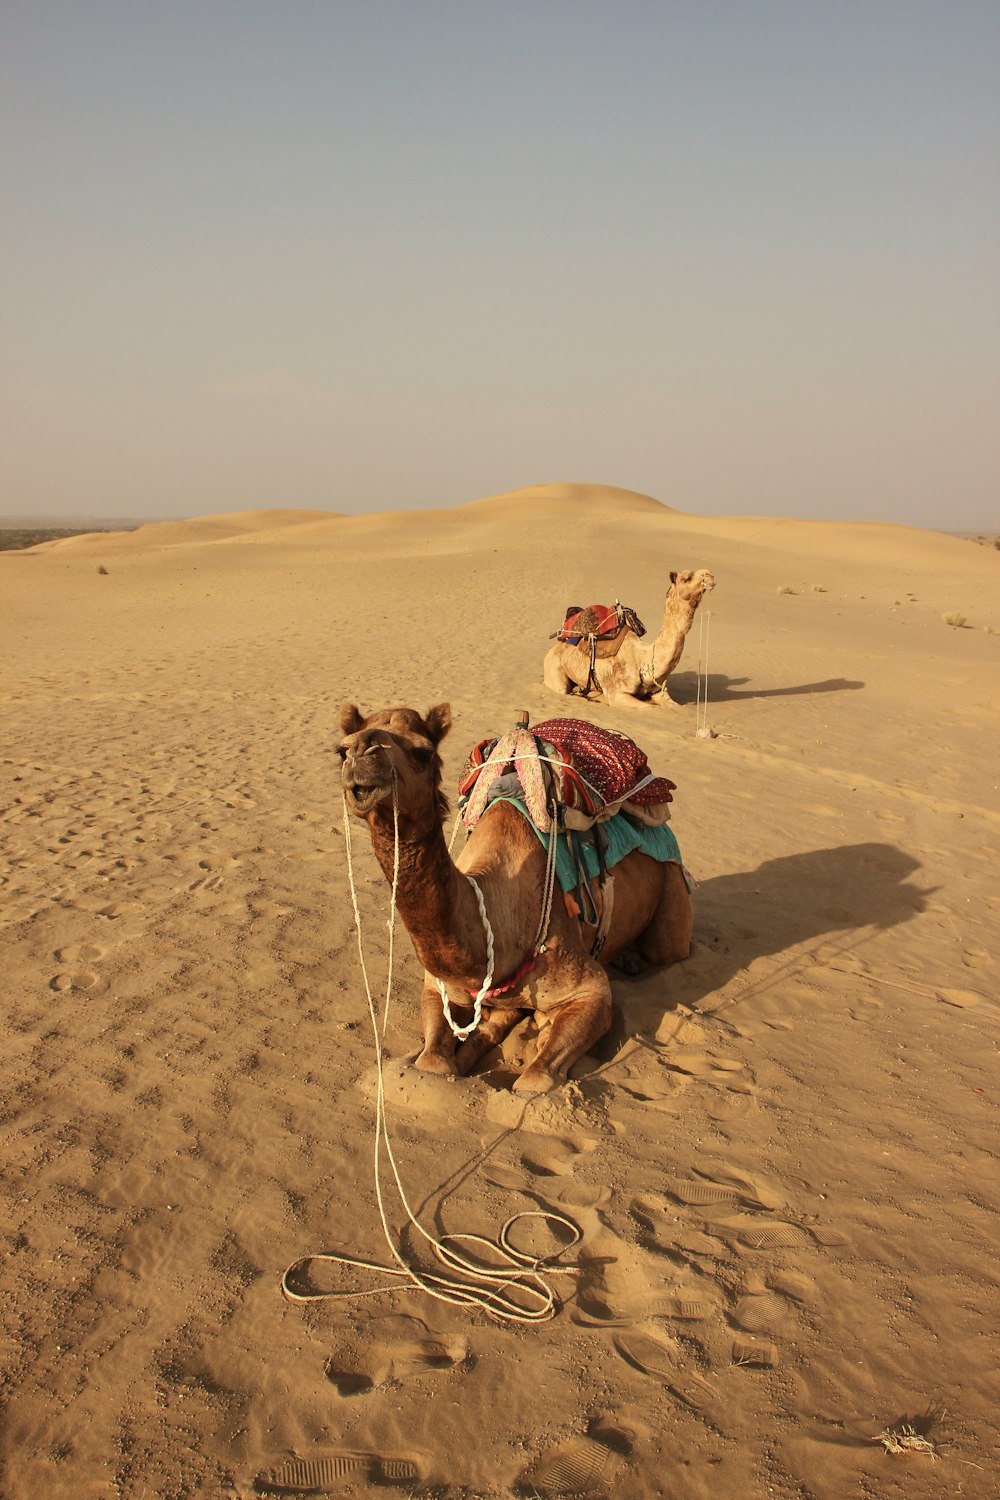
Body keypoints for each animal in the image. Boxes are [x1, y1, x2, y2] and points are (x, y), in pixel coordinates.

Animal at [340, 702, 692, 1092]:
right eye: (341, 750)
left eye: (422, 751)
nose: (361, 752)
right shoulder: (439, 986)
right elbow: (433, 1062)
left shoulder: (591, 989)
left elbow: (534, 1080)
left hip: (671, 888)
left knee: (667, 948)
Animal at [542, 567, 716, 708]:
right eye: (686, 578)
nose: (709, 574)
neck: (642, 659)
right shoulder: (618, 693)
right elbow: (650, 708)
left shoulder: (660, 693)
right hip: (554, 670)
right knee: (563, 690)